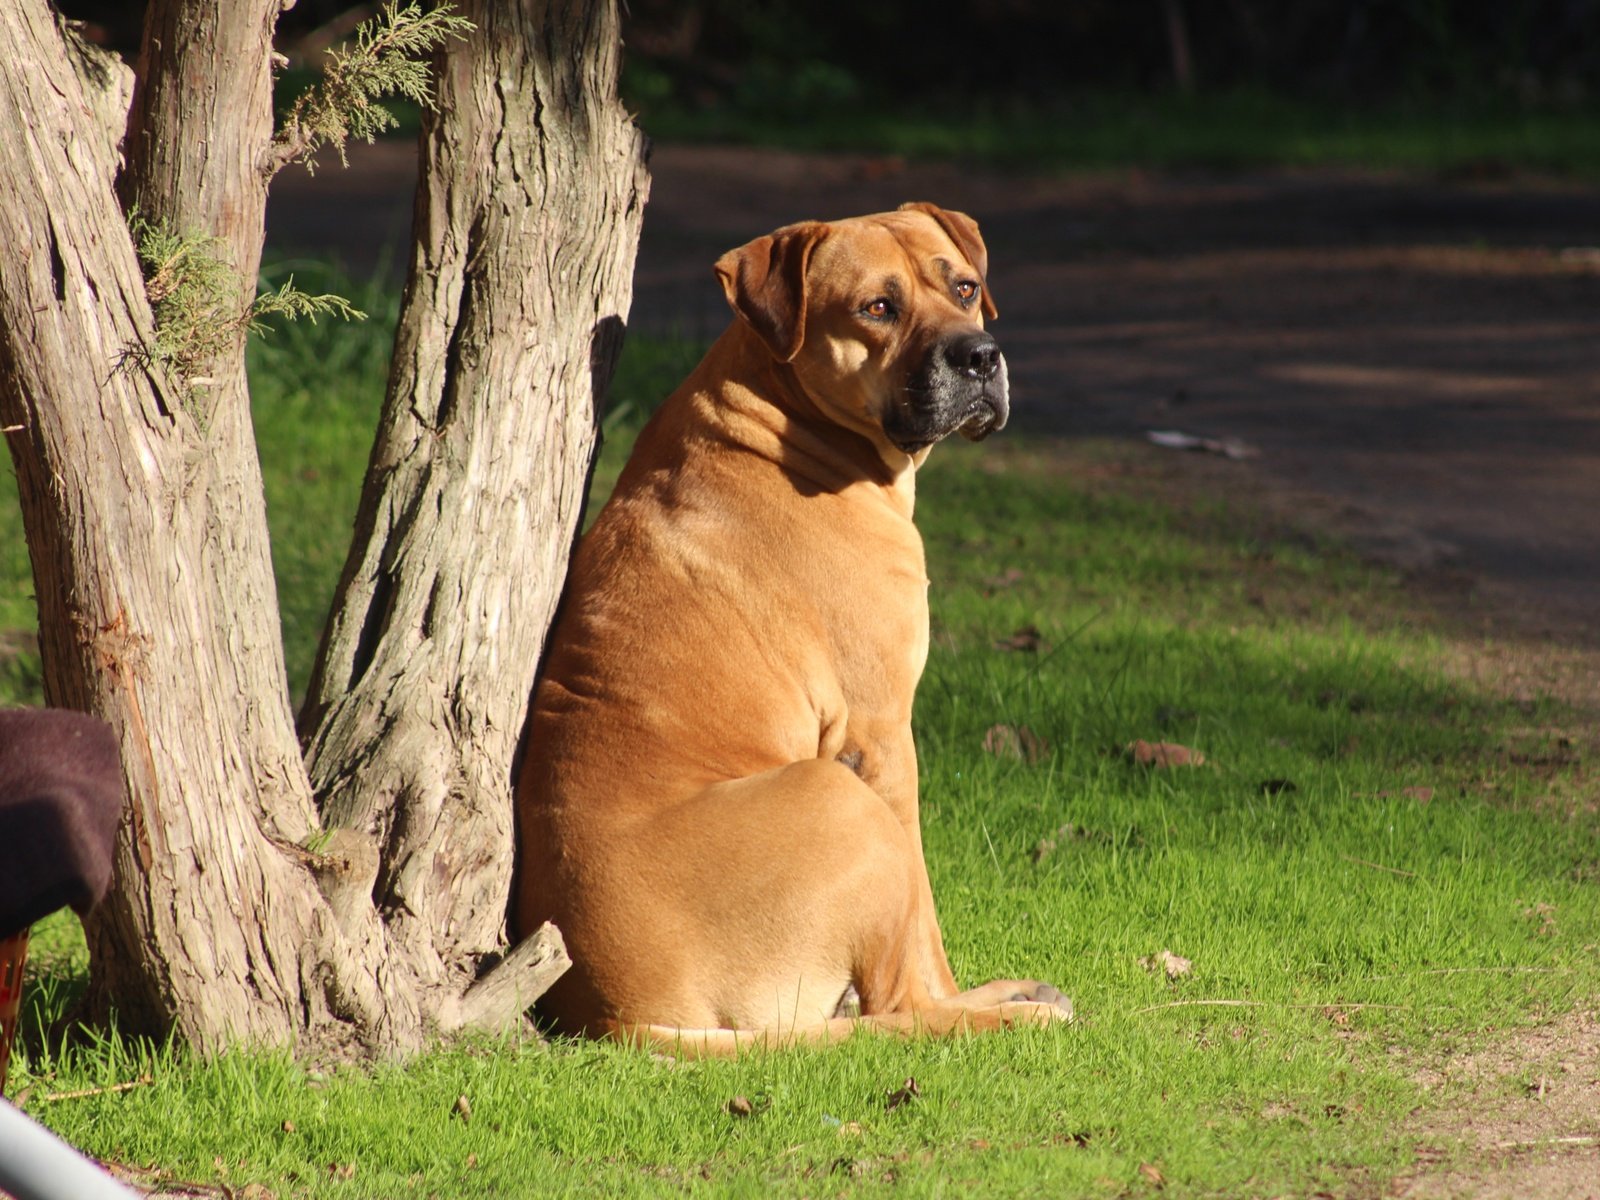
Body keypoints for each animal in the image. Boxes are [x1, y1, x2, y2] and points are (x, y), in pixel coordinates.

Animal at [515, 204, 1075, 1049]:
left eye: (964, 288)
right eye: (878, 307)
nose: (980, 356)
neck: (786, 415)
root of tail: (622, 1016)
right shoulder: (882, 737)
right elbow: (926, 919)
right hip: (839, 800)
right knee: (899, 1008)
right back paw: (1008, 1014)